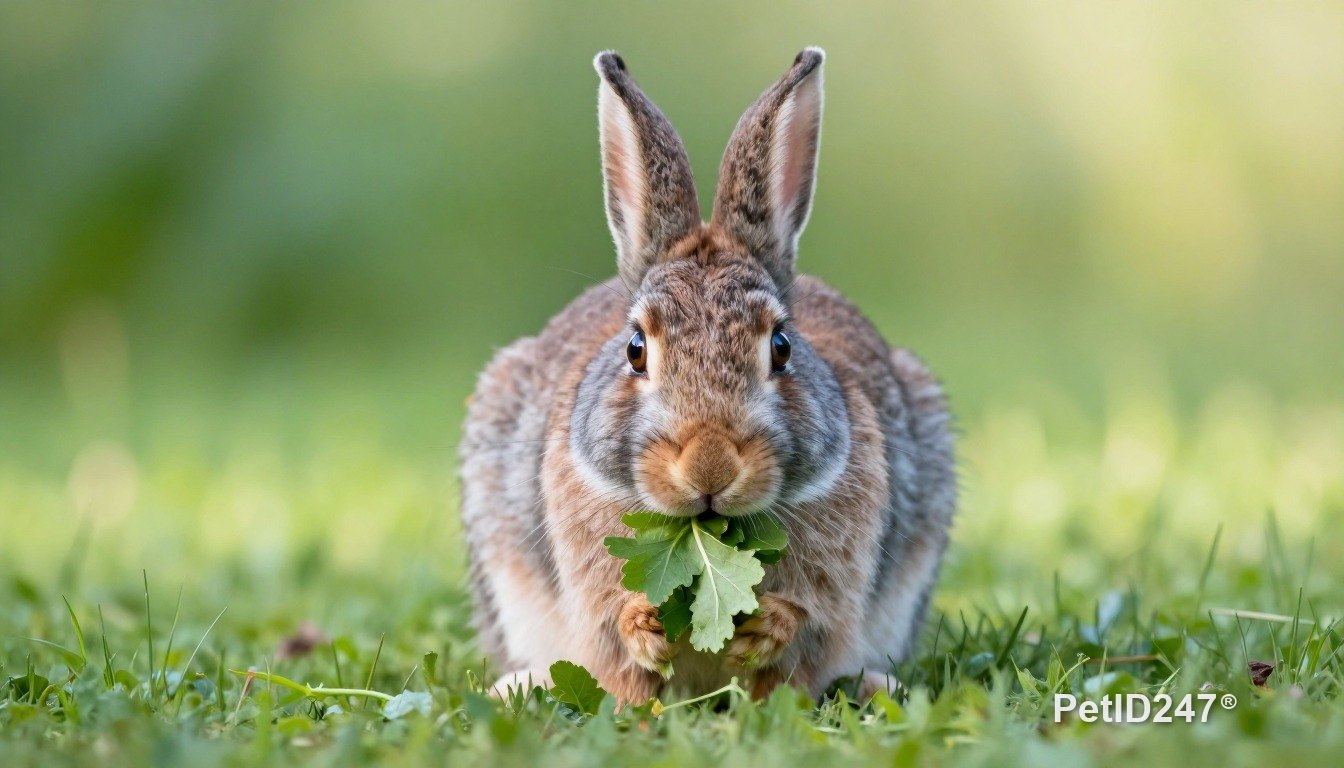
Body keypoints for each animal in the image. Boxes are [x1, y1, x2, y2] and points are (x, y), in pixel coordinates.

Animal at [459, 48, 955, 704]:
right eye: (636, 349)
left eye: (781, 347)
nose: (710, 466)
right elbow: (616, 637)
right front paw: (647, 622)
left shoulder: (831, 599)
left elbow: (804, 629)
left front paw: (765, 626)